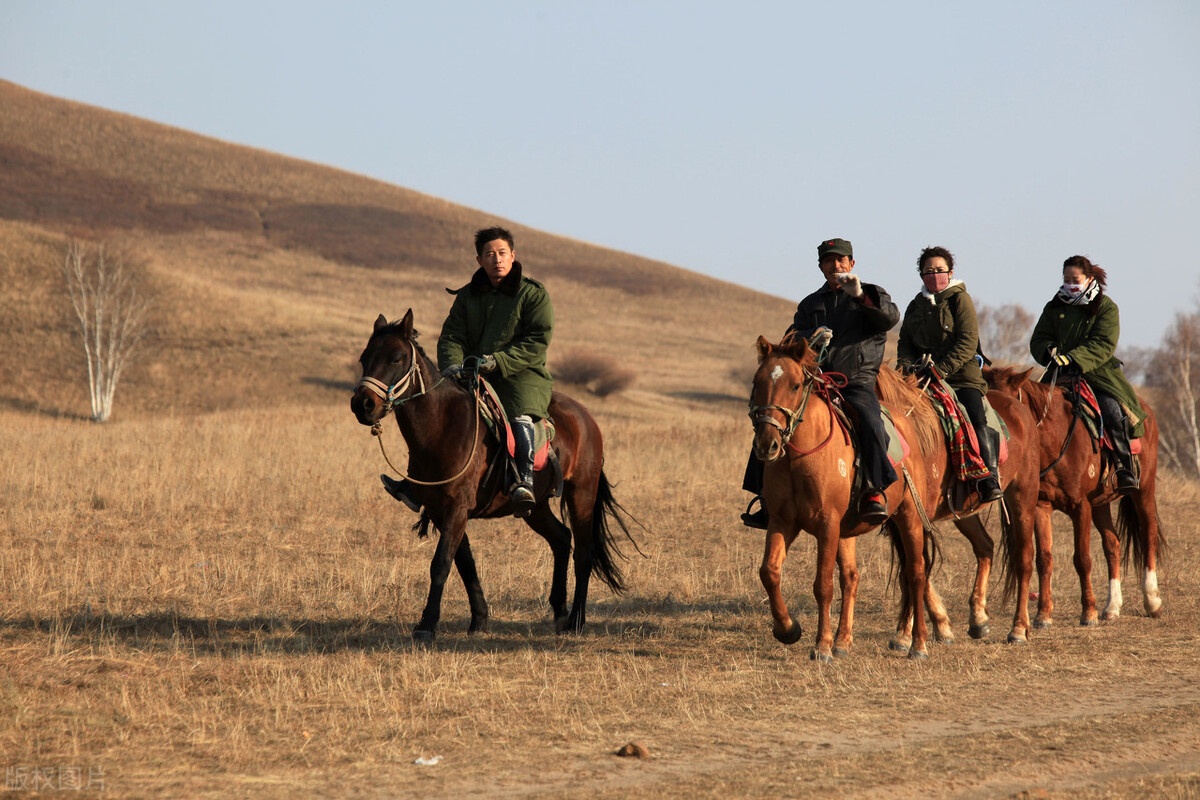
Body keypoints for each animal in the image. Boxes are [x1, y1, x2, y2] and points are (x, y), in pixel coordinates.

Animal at [350, 309, 638, 642]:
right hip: (535, 508)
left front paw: (426, 625)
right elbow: (464, 563)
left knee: (583, 552)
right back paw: (559, 611)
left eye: (396, 358)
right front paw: (479, 620)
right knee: (561, 539)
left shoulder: (456, 509)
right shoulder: (440, 511)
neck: (443, 427)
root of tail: (586, 418)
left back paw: (577, 621)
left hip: (582, 494)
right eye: (364, 358)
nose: (362, 404)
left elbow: (441, 563)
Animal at [748, 335, 1041, 662]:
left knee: (1007, 560)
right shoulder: (782, 521)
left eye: (795, 385)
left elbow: (824, 584)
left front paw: (822, 646)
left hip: (1010, 501)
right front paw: (788, 629)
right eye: (757, 382)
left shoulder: (829, 524)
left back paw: (1007, 630)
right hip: (954, 514)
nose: (767, 444)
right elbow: (770, 572)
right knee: (979, 548)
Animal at [984, 367, 1161, 623]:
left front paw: (1088, 612)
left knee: (1148, 536)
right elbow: (1044, 559)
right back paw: (1112, 606)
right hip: (1100, 504)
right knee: (1112, 544)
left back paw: (1152, 600)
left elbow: (1082, 559)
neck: (1054, 440)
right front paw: (1043, 614)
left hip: (1143, 491)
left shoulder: (1080, 507)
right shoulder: (1041, 506)